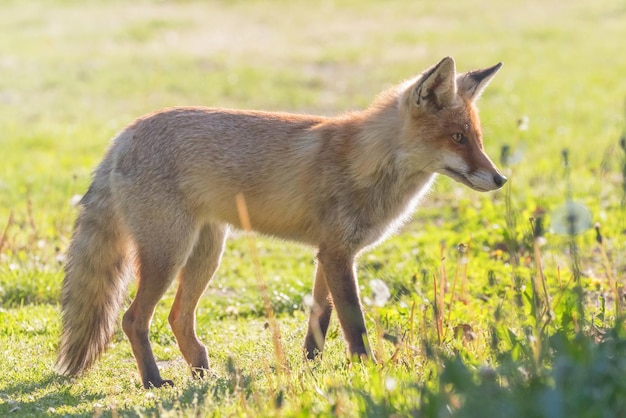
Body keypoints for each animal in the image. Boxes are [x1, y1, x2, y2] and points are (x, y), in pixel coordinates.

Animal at [57, 56, 508, 388]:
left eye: (478, 140)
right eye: (457, 139)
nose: (501, 179)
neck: (367, 161)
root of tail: (122, 136)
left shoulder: (329, 252)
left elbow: (320, 317)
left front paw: (311, 366)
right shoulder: (338, 254)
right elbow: (354, 321)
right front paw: (369, 370)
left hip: (206, 252)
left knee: (178, 318)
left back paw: (201, 373)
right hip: (169, 253)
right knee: (134, 320)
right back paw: (154, 381)